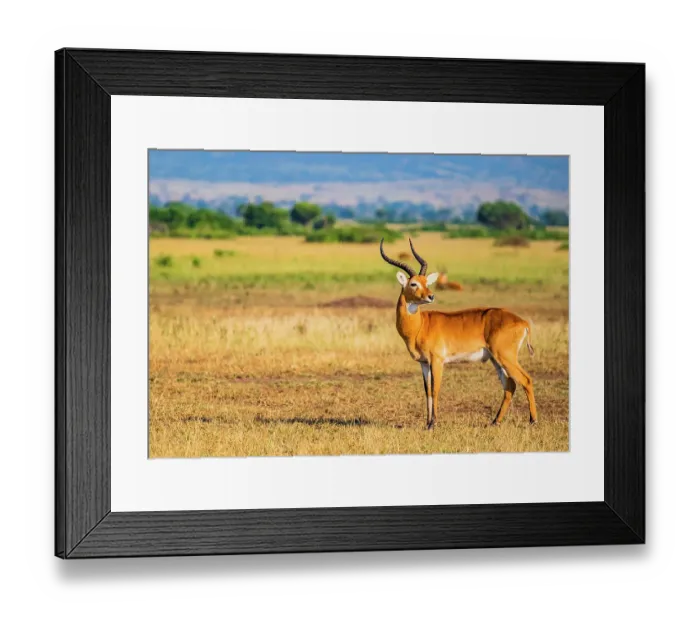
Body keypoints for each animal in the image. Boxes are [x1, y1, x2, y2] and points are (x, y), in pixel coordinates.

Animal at [380, 239, 537, 430]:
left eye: (426, 282)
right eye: (413, 283)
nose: (431, 296)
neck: (420, 326)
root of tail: (522, 322)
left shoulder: (437, 361)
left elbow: (435, 390)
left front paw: (433, 424)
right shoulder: (424, 363)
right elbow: (427, 392)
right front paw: (427, 423)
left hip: (506, 356)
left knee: (526, 380)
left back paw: (533, 420)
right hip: (496, 359)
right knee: (510, 385)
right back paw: (494, 422)